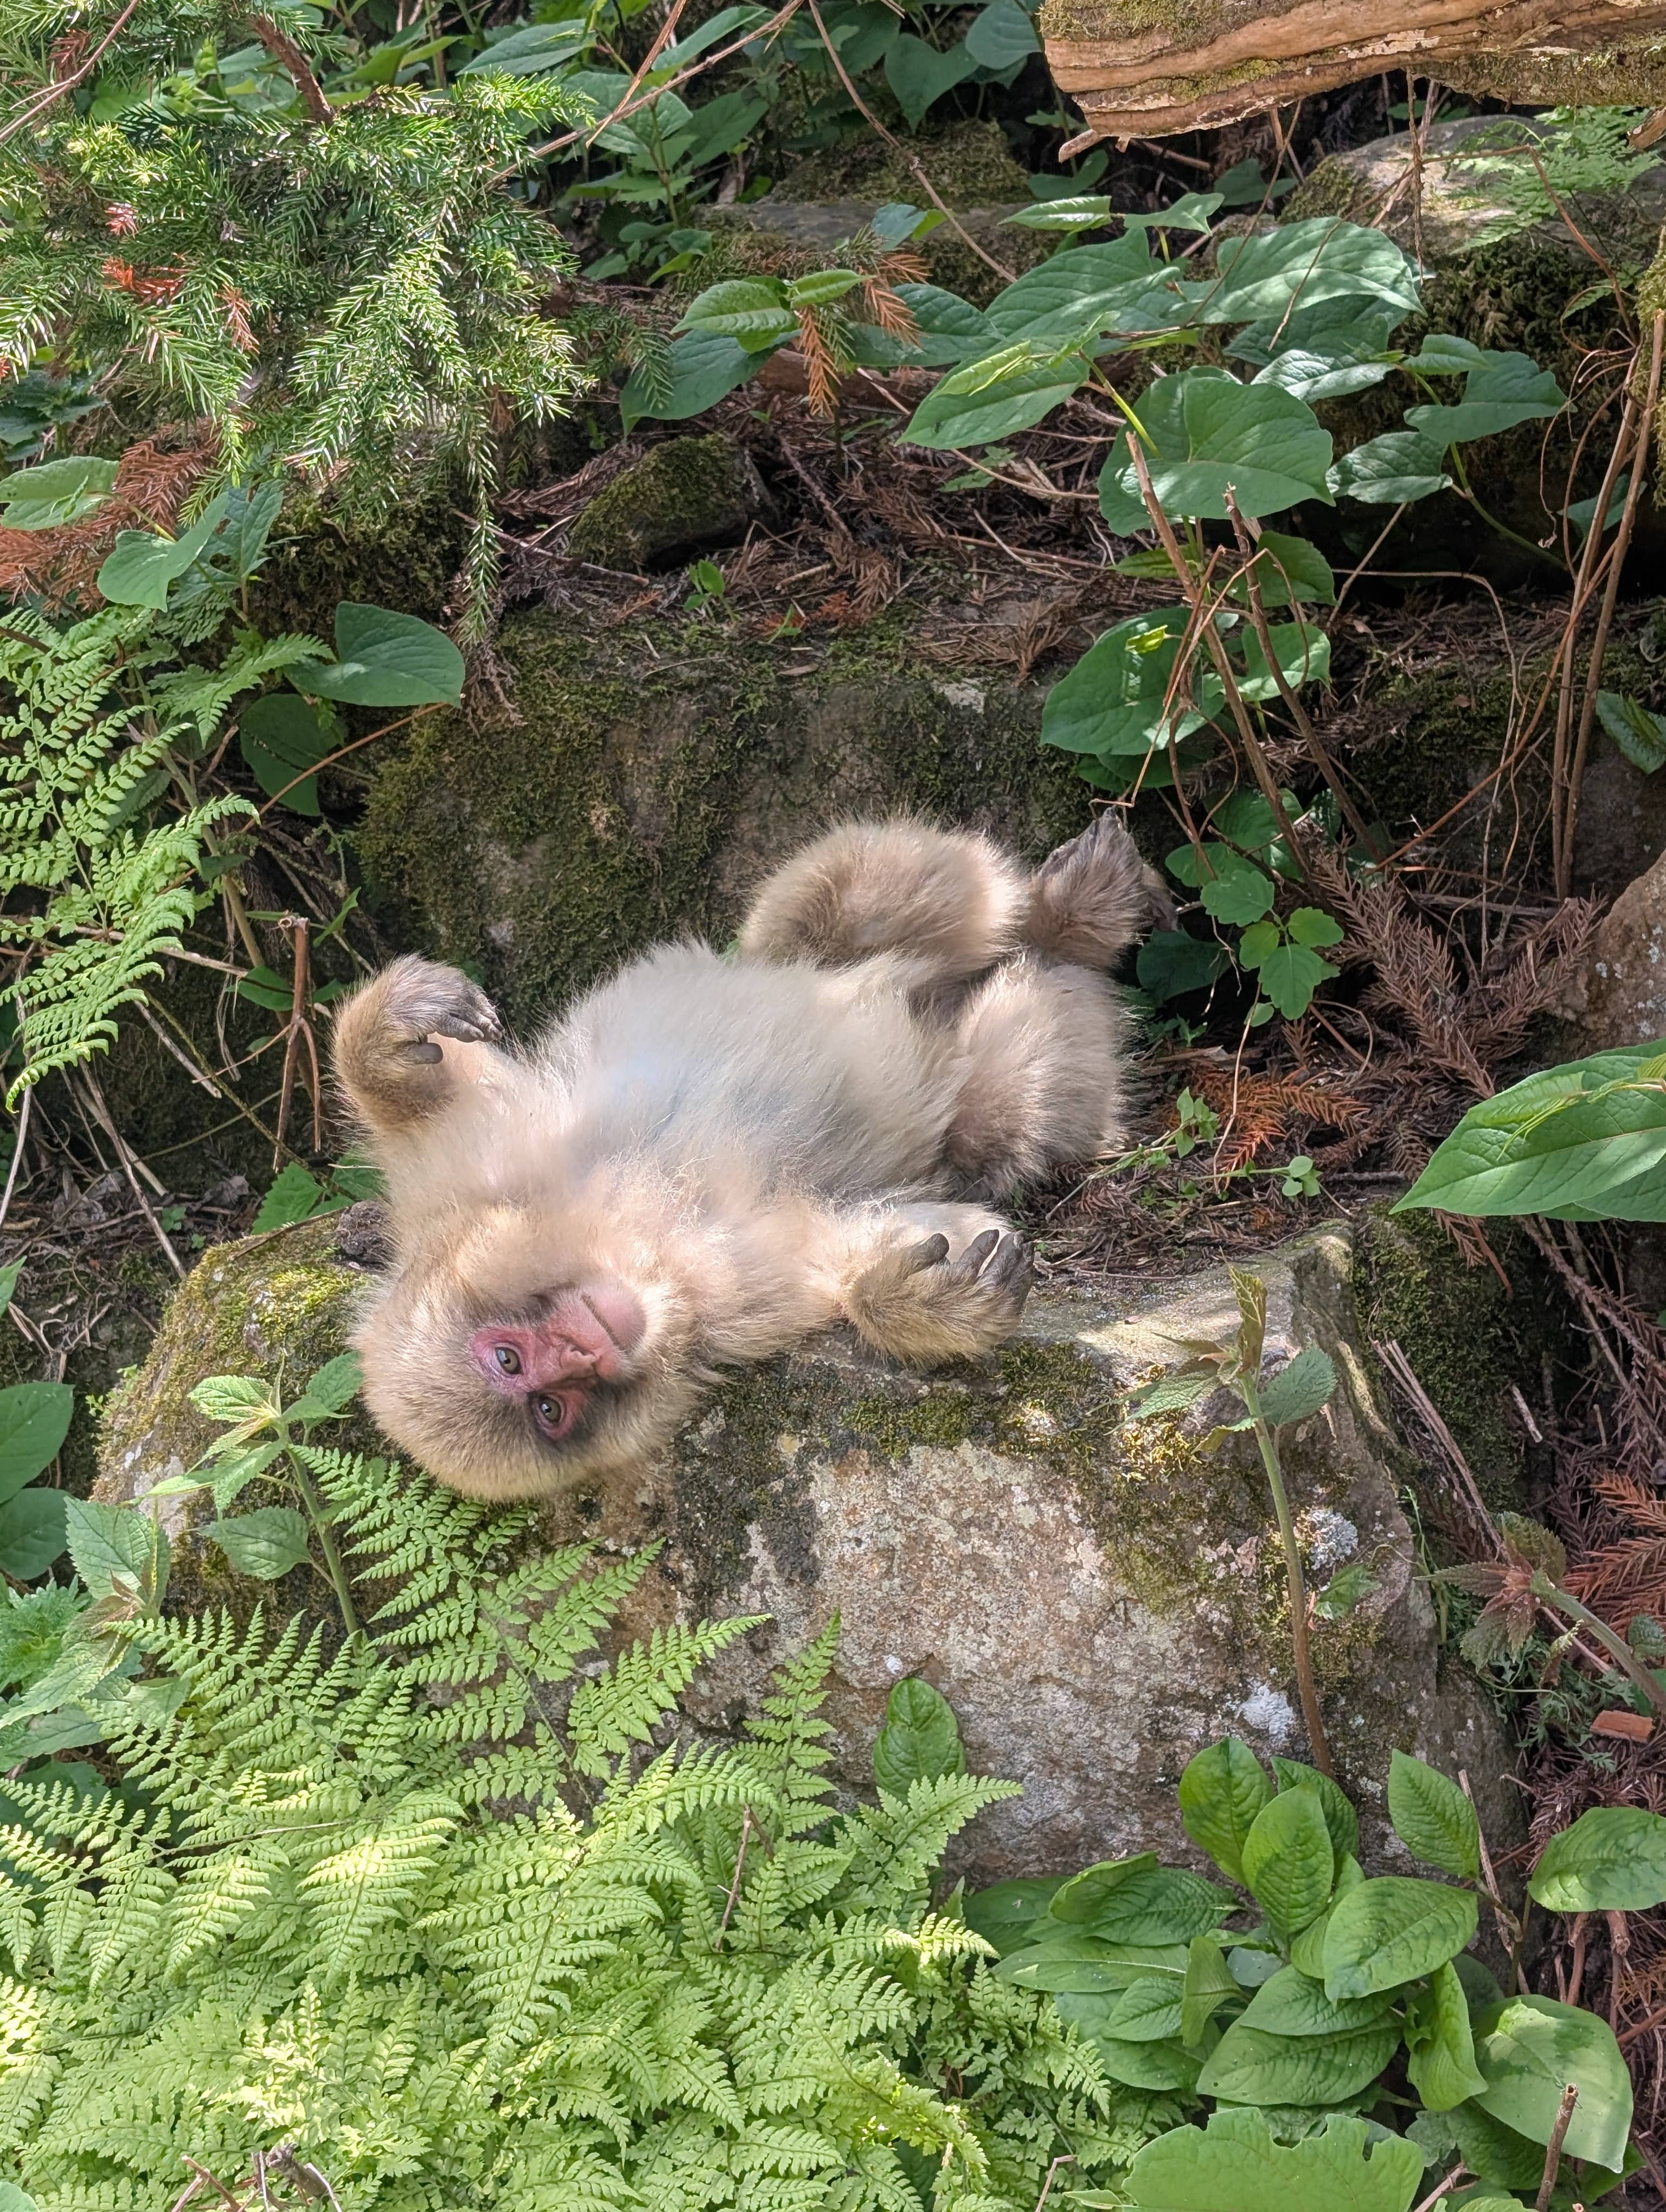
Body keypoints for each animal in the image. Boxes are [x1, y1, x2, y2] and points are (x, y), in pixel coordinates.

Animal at [331, 814, 1170, 1500]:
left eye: (508, 1360)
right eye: (551, 1408)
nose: (585, 1351)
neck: (636, 1228)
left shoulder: (470, 1164)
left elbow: (423, 1093)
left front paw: (385, 1037)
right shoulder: (728, 1303)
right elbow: (834, 1254)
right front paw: (913, 1301)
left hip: (800, 958)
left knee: (847, 900)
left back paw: (1067, 921)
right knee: (993, 1117)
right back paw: (1068, 947)